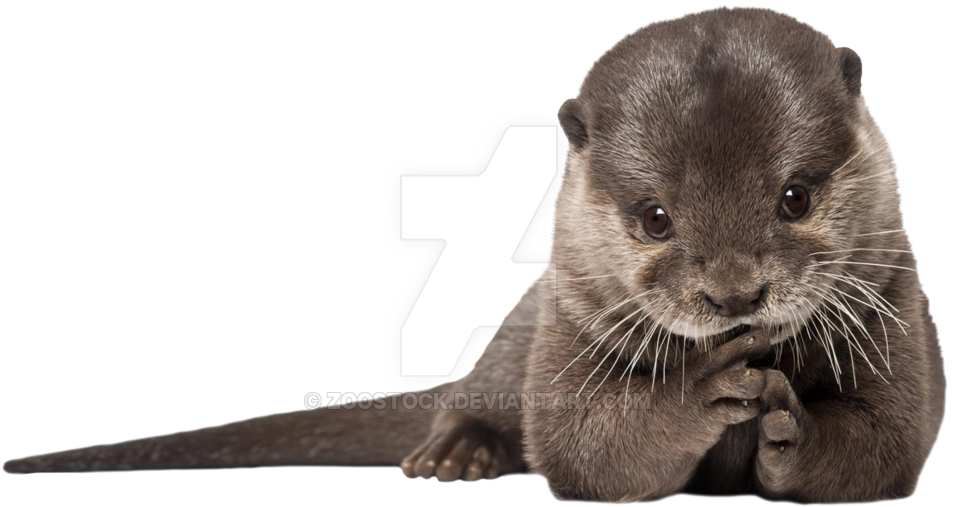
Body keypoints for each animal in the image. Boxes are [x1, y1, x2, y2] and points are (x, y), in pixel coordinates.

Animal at [3, 6, 945, 504]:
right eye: (654, 217)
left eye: (794, 196)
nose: (734, 295)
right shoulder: (571, 317)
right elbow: (579, 443)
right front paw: (704, 387)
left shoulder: (893, 303)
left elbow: (887, 439)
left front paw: (792, 421)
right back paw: (452, 455)